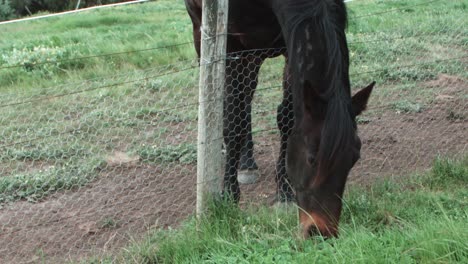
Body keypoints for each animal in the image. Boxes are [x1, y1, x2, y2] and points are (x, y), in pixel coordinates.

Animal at [185, 0, 374, 238]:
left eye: (354, 158)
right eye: (312, 158)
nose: (321, 231)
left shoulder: (288, 44)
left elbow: (287, 118)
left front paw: (284, 193)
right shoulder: (231, 44)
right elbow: (233, 118)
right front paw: (229, 195)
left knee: (248, 93)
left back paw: (247, 162)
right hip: (204, 32)